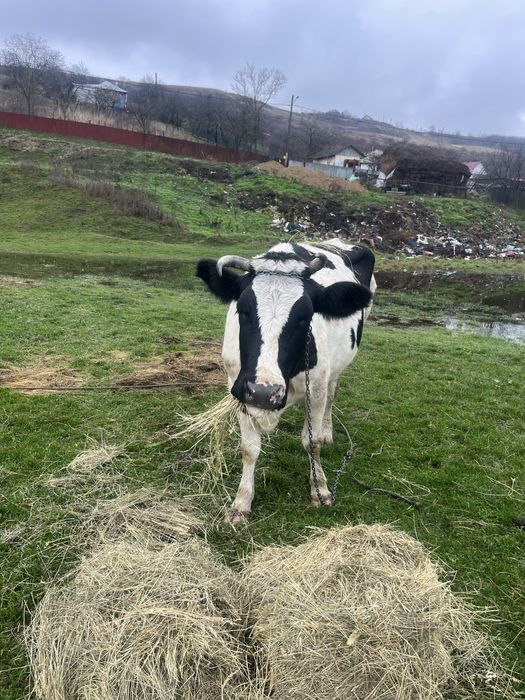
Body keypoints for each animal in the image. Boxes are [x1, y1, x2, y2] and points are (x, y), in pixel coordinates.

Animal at [197, 239, 376, 524]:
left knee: (333, 392)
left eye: (305, 316)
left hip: (337, 367)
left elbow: (312, 442)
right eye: (243, 310)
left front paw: (319, 487)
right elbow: (249, 448)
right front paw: (241, 502)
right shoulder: (238, 388)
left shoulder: (315, 389)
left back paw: (328, 431)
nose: (263, 392)